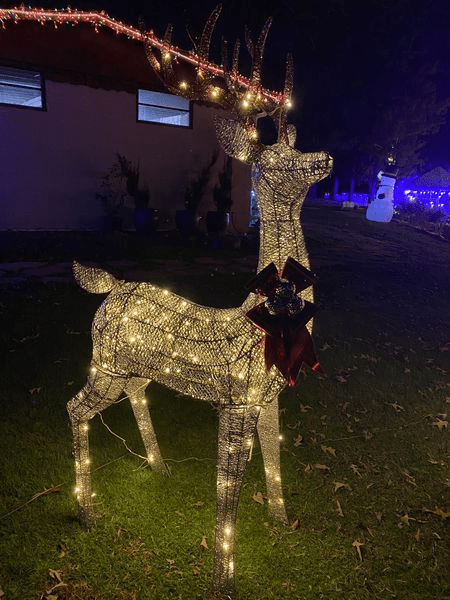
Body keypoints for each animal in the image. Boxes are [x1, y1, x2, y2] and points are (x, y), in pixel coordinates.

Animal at [67, 7, 334, 596]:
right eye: (276, 159)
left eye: (298, 145)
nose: (325, 157)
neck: (266, 317)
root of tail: (108, 286)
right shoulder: (235, 404)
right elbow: (226, 492)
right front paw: (223, 578)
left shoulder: (268, 399)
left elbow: (275, 459)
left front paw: (281, 520)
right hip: (104, 365)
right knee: (74, 407)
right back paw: (86, 511)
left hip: (130, 370)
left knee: (137, 394)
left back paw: (158, 466)